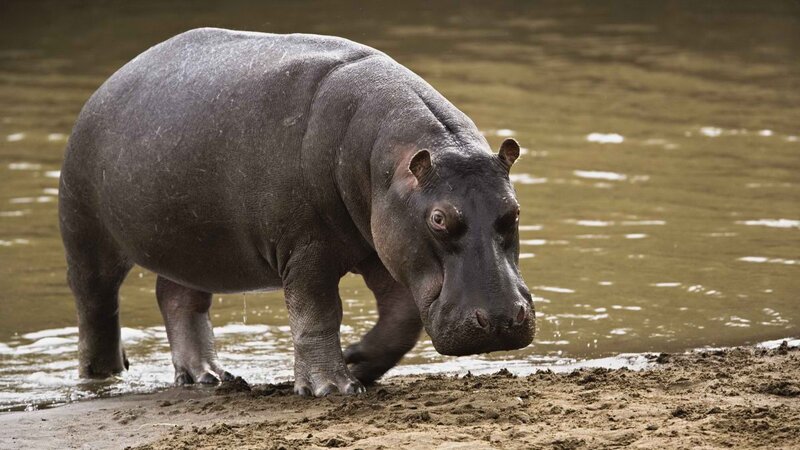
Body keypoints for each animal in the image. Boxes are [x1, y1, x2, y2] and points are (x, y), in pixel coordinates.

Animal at [59, 28, 535, 397]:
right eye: (439, 218)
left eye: (513, 210)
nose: (500, 320)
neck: (386, 161)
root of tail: (108, 83)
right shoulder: (306, 250)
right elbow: (317, 314)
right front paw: (332, 388)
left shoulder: (383, 247)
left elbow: (401, 319)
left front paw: (356, 361)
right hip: (86, 234)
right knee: (95, 308)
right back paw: (102, 378)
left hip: (191, 245)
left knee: (178, 298)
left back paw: (207, 377)